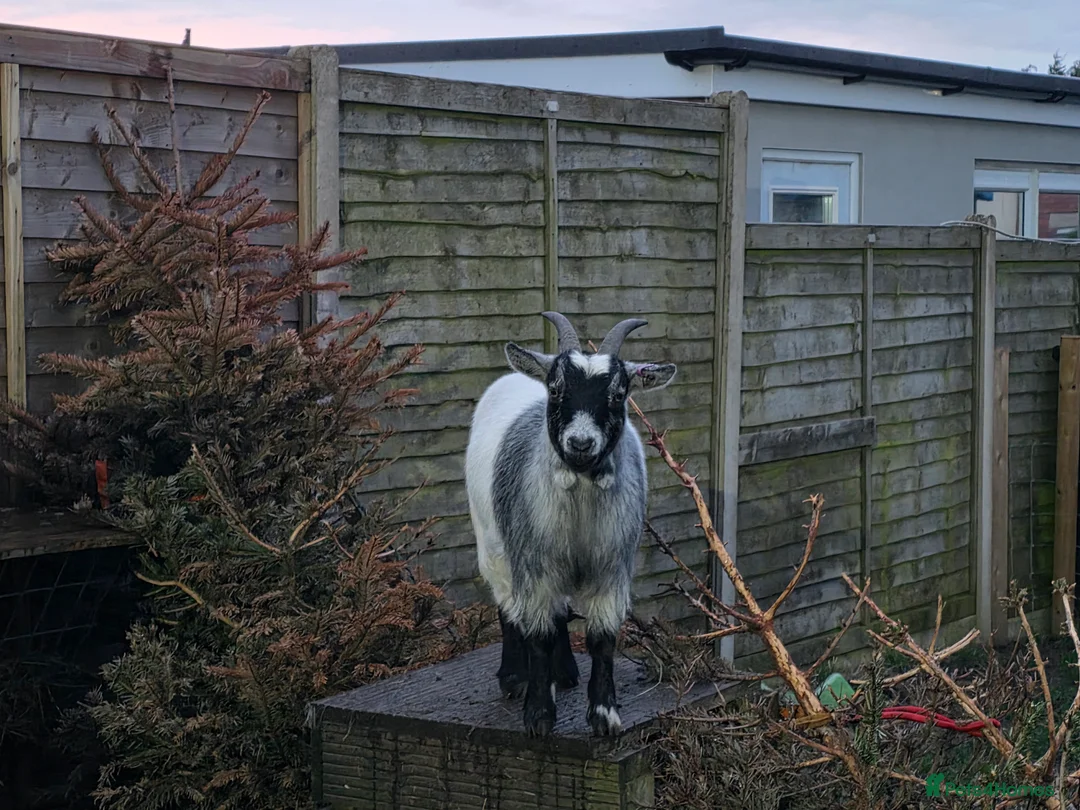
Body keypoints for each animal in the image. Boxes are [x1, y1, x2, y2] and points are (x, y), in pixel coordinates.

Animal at [464, 311, 677, 737]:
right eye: (556, 389)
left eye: (619, 393)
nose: (580, 444)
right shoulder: (534, 563)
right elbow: (538, 635)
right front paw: (539, 715)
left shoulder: (612, 568)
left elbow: (602, 638)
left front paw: (604, 715)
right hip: (493, 543)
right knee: (507, 603)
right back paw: (514, 677)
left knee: (559, 611)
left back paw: (563, 674)